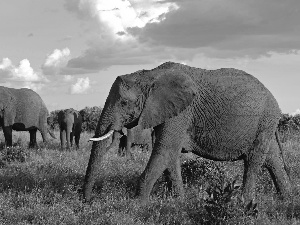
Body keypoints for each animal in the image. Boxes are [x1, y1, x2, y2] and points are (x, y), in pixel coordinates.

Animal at [83, 62, 292, 204]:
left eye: (124, 103)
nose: (86, 201)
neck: (150, 75)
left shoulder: (181, 112)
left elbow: (165, 151)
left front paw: (137, 206)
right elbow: (171, 155)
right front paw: (178, 201)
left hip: (264, 121)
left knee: (253, 161)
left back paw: (244, 204)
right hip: (265, 125)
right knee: (272, 159)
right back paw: (287, 199)